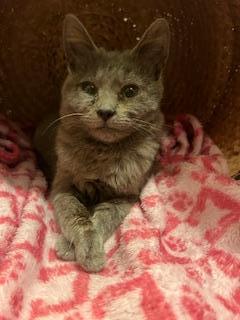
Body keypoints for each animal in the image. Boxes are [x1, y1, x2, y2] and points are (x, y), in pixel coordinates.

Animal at [34, 13, 170, 272]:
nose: (105, 111)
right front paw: (79, 246)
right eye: (89, 88)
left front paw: (83, 249)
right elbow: (75, 214)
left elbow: (104, 217)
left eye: (130, 91)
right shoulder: (62, 185)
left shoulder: (126, 195)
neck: (102, 153)